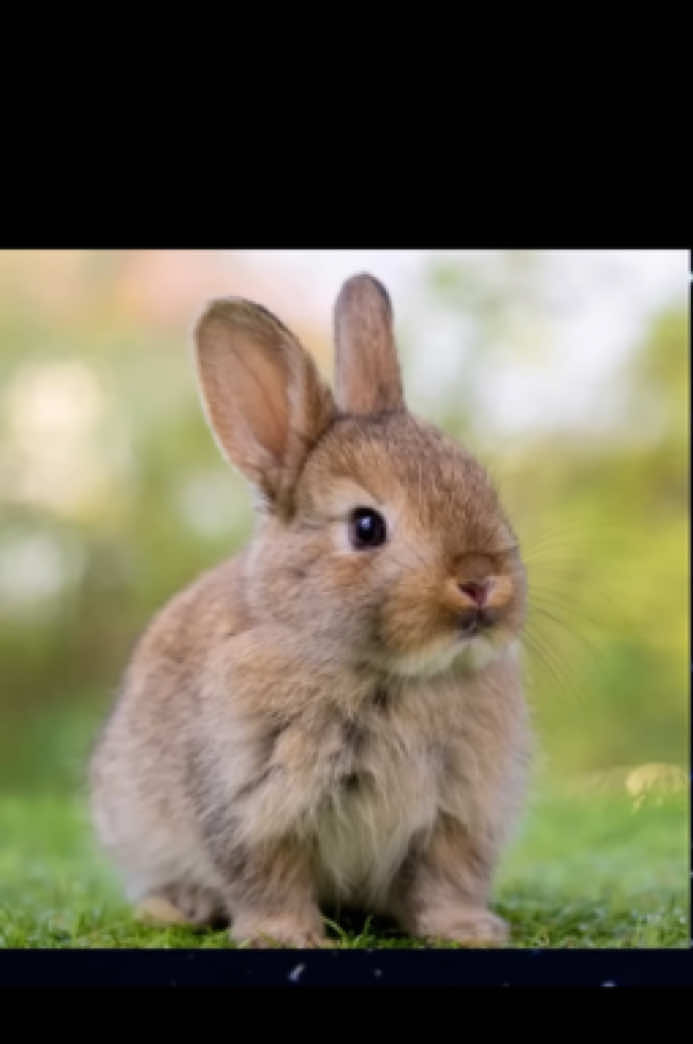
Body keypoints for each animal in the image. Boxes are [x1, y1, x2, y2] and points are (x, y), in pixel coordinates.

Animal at [89, 273, 531, 948]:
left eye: (483, 488)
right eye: (367, 526)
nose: (481, 581)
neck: (383, 673)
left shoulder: (457, 814)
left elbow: (447, 878)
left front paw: (468, 931)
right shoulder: (252, 804)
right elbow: (270, 877)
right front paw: (284, 937)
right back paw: (177, 907)